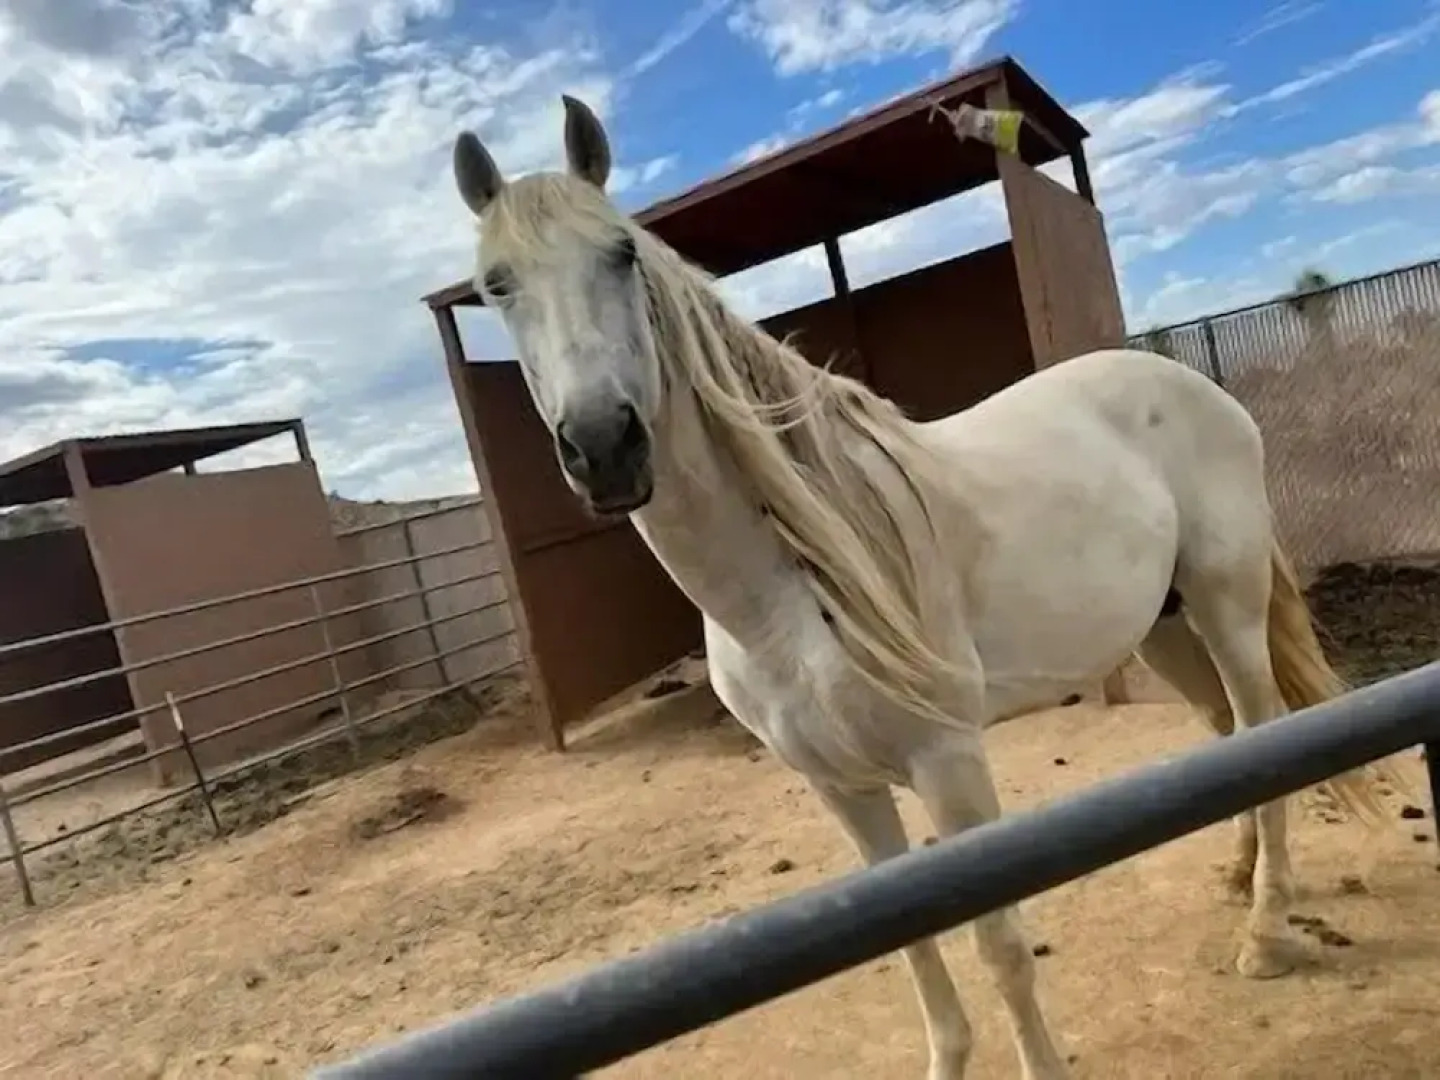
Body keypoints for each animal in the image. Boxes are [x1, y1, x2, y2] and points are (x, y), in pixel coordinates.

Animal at [448, 95, 1393, 1080]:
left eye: (622, 254)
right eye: (495, 286)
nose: (604, 447)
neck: (792, 595)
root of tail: (1191, 384)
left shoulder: (950, 765)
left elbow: (1001, 946)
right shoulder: (843, 790)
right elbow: (909, 948)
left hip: (1226, 608)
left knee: (1264, 724)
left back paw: (1267, 931)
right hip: (1162, 627)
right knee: (1226, 734)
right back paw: (1238, 875)